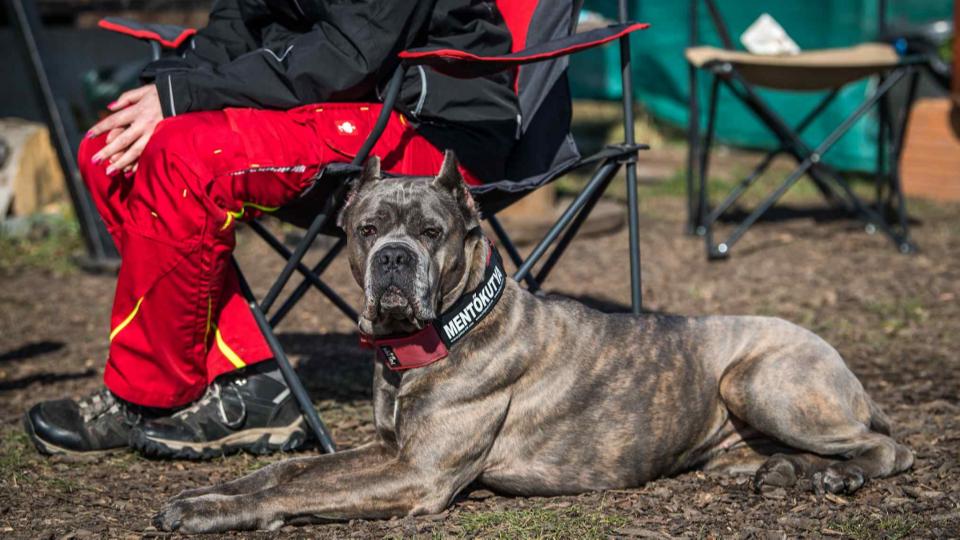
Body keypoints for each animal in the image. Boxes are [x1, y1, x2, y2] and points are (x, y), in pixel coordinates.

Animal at [154, 151, 912, 532]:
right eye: (366, 230)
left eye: (431, 232)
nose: (394, 258)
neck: (442, 333)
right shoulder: (389, 449)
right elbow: (285, 472)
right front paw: (211, 492)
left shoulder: (416, 474)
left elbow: (298, 490)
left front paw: (216, 515)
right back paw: (781, 471)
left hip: (754, 379)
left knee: (888, 448)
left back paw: (836, 475)